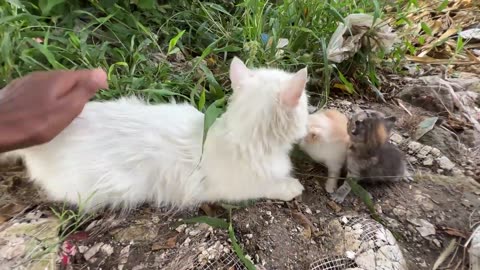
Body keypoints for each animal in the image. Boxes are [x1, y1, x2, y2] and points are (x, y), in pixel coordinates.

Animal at [7, 58, 310, 212]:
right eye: (306, 103)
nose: (310, 111)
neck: (238, 136)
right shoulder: (234, 187)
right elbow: (268, 185)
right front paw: (290, 187)